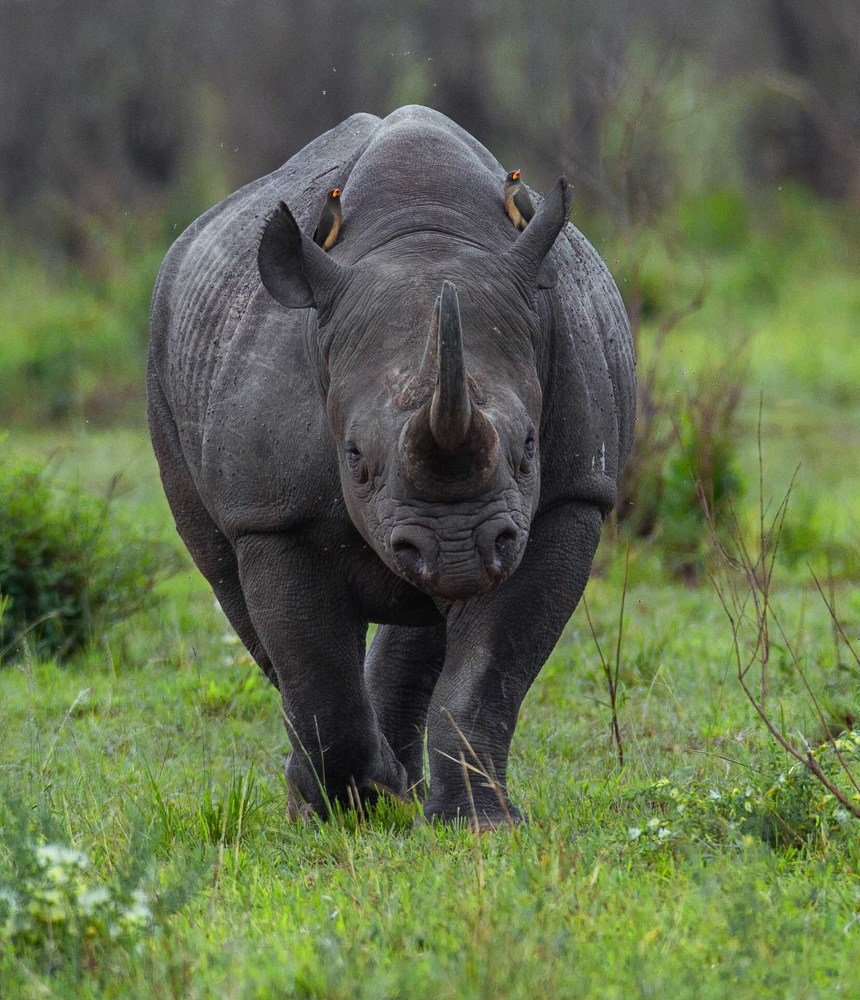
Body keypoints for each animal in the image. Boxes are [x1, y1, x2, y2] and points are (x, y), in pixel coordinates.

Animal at [148, 105, 635, 828]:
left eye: (528, 448)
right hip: (167, 354)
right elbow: (315, 669)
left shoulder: (566, 498)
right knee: (236, 593)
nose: (457, 548)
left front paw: (479, 825)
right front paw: (357, 801)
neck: (422, 239)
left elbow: (488, 675)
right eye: (355, 458)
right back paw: (333, 795)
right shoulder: (273, 514)